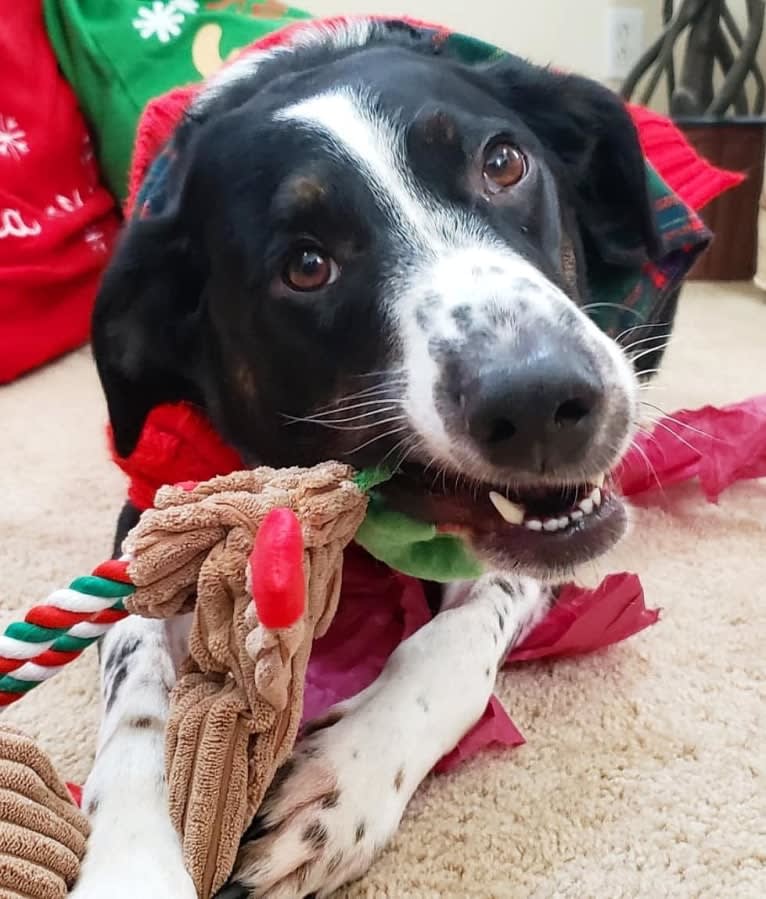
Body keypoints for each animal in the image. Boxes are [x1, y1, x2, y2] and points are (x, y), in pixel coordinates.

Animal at [75, 21, 668, 899]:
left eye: (503, 162)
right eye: (305, 265)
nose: (541, 398)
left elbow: (455, 638)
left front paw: (347, 776)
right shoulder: (149, 509)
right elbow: (136, 679)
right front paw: (131, 864)